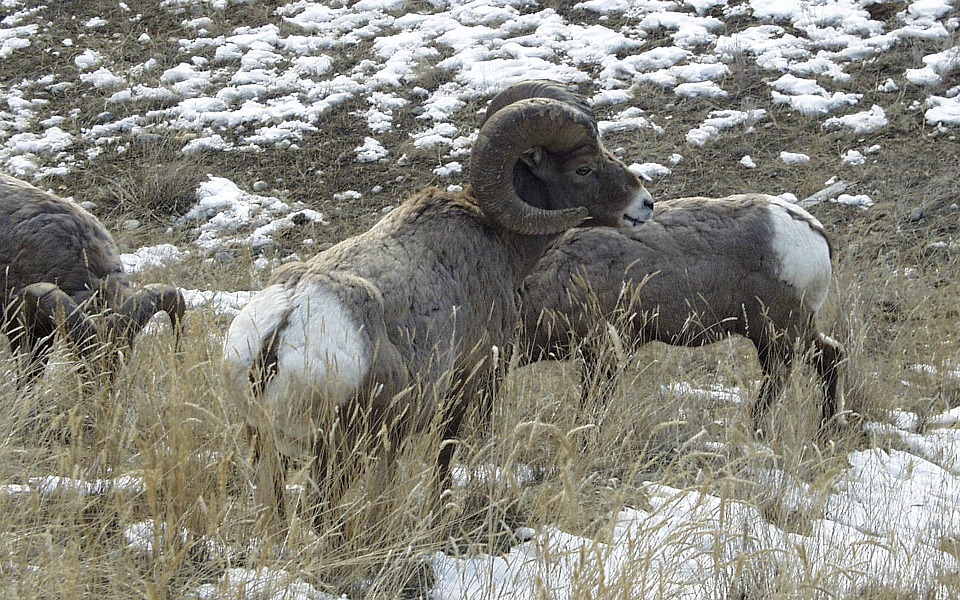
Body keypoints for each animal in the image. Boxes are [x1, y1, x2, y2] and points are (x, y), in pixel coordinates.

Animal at [223, 79, 660, 524]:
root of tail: (282, 330)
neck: (496, 241)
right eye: (583, 168)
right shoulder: (469, 382)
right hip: (339, 452)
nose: (644, 204)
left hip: (265, 447)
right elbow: (445, 456)